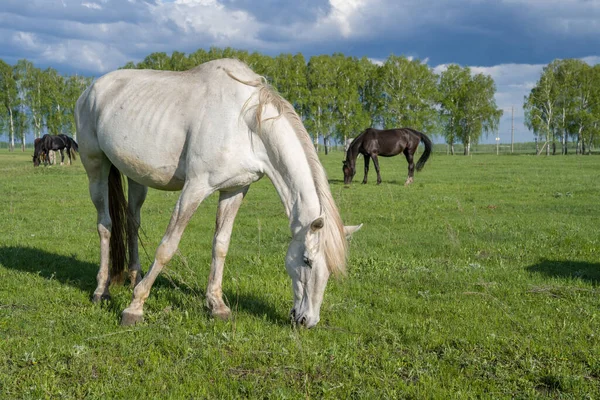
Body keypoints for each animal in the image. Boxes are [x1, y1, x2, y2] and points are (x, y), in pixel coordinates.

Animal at [75, 58, 360, 328]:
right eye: (307, 260)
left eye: (329, 269)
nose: (306, 320)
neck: (246, 125)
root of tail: (90, 90)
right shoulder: (196, 187)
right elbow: (168, 246)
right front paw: (135, 307)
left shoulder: (234, 189)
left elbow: (221, 244)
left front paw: (217, 305)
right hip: (96, 168)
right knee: (105, 226)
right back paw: (102, 290)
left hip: (136, 177)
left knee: (132, 223)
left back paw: (134, 276)